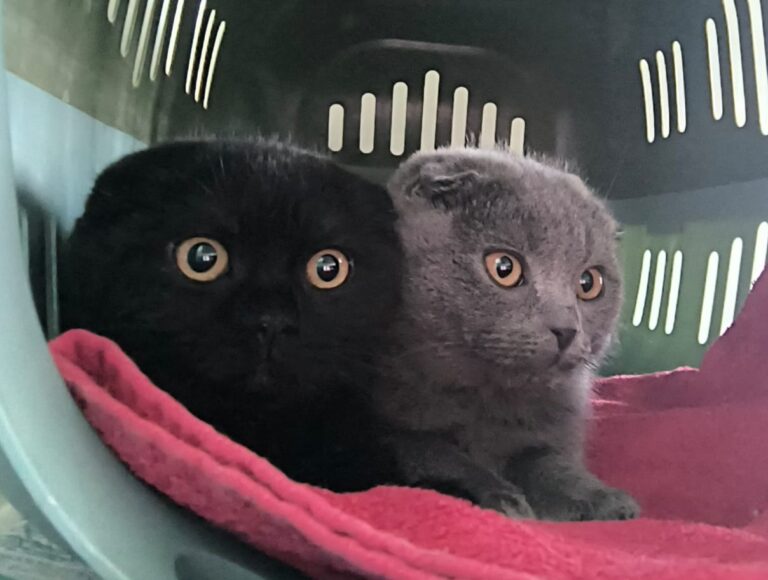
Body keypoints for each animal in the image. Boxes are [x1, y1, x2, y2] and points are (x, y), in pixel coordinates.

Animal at [374, 147, 639, 521]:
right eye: (504, 268)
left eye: (589, 283)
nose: (566, 330)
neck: (486, 399)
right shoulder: (386, 429)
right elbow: (433, 451)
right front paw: (501, 496)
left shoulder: (555, 428)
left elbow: (548, 462)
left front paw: (601, 498)